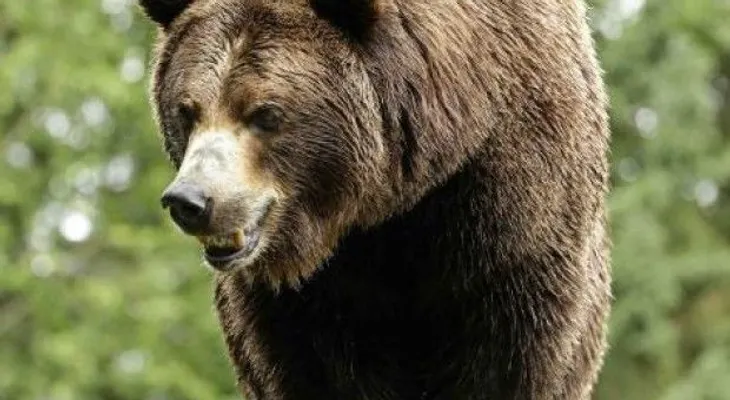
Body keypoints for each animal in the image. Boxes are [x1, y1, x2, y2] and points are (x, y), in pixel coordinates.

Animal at [139, 0, 611, 399]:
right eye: (187, 110)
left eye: (264, 113)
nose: (191, 201)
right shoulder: (302, 300)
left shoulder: (507, 221)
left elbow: (509, 357)